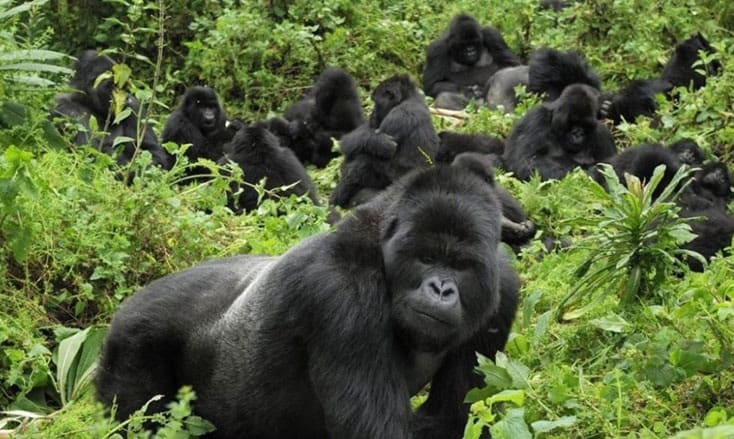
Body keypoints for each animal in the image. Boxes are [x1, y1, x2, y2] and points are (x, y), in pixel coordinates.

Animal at [96, 157, 524, 439]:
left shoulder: (501, 289)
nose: (440, 288)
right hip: (131, 342)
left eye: (461, 265)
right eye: (427, 258)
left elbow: (450, 418)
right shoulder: (342, 293)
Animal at [330, 75, 440, 209]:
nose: (372, 114)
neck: (408, 97)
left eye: (376, 103)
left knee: (362, 162)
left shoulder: (398, 116)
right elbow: (356, 138)